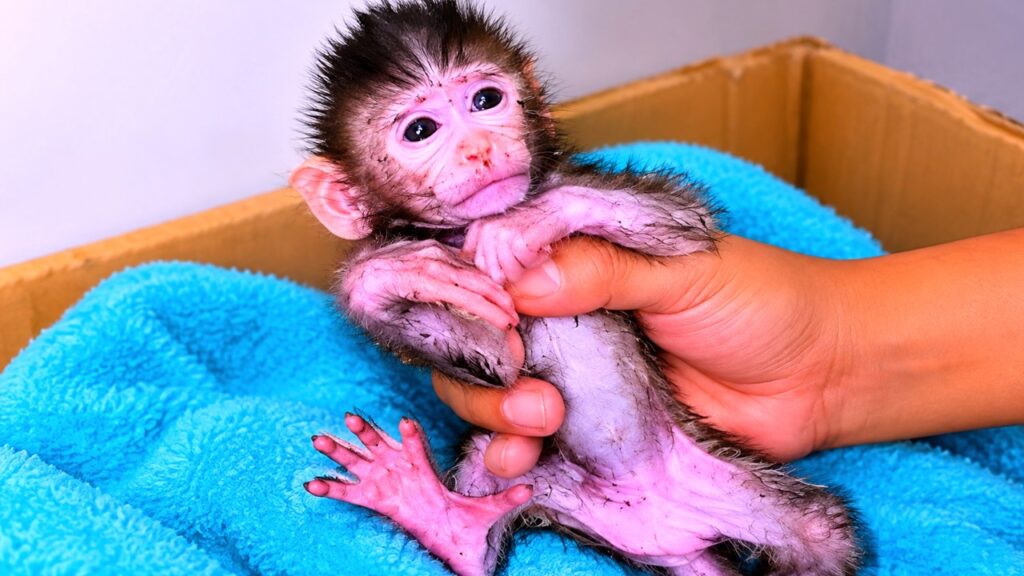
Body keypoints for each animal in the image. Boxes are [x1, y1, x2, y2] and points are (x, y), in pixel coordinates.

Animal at [291, 1, 861, 574]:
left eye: (485, 100)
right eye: (420, 130)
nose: (479, 147)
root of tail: (663, 530)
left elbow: (686, 221)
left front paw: (524, 222)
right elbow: (500, 359)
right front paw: (398, 273)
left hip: (730, 484)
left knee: (820, 531)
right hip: (544, 487)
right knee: (476, 540)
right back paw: (434, 512)